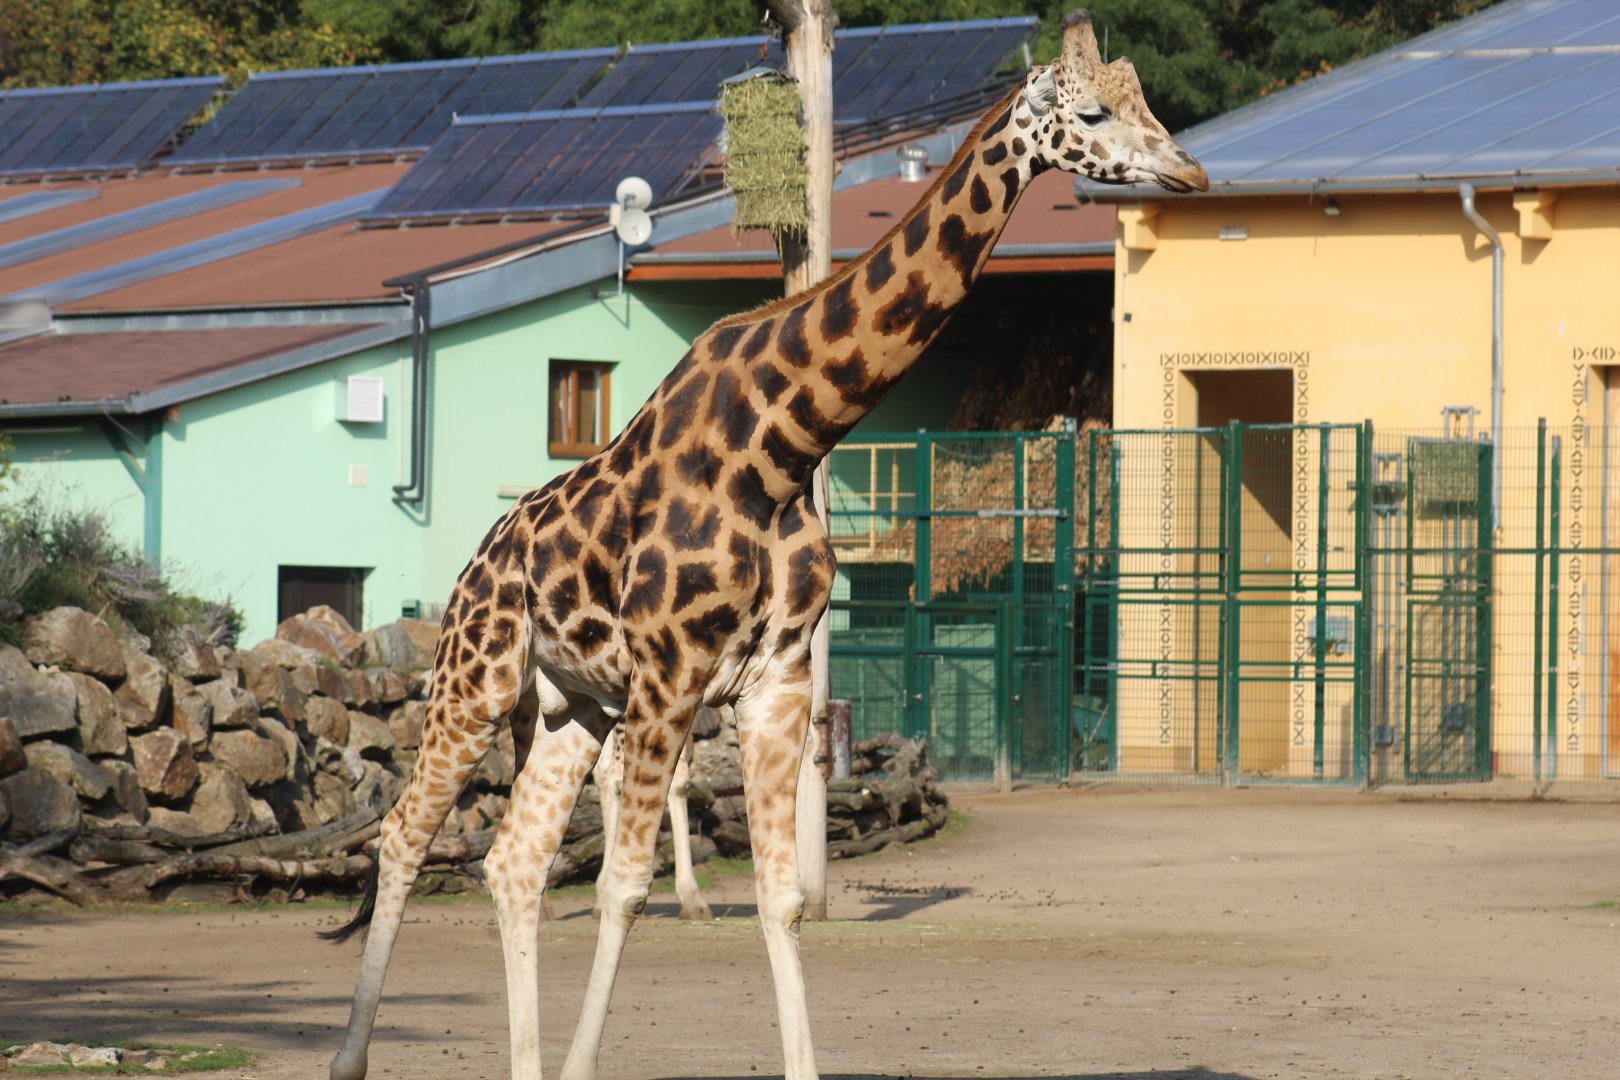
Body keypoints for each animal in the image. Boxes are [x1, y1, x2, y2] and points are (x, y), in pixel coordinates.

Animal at [326, 11, 1205, 1080]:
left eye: (1143, 97)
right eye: (1092, 114)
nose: (1190, 171)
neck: (783, 450)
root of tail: (472, 566)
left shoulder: (777, 677)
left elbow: (781, 898)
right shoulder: (670, 676)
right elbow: (623, 887)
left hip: (571, 707)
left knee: (512, 862)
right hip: (477, 682)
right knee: (404, 835)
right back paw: (350, 1054)